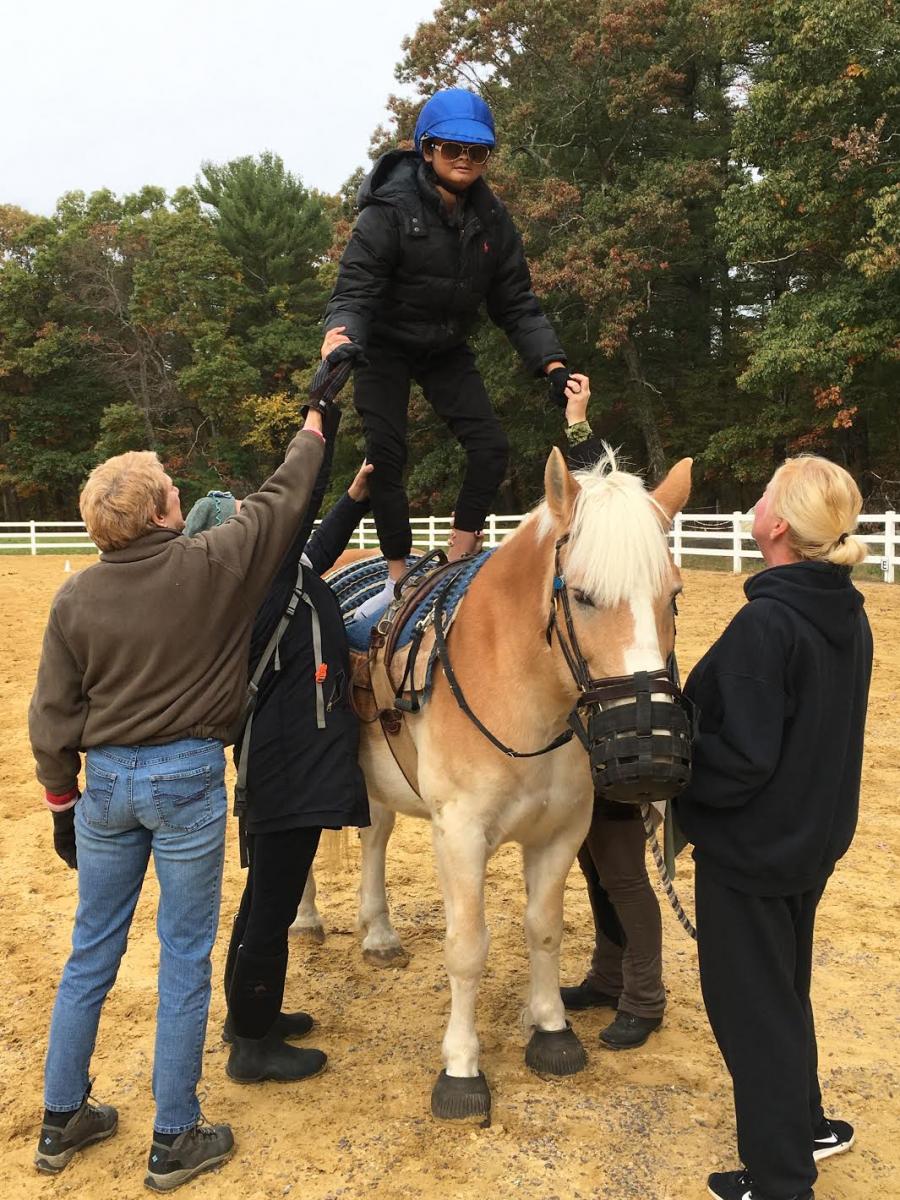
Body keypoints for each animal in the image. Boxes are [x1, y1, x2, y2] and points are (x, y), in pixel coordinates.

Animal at [296, 446, 691, 1118]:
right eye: (582, 595)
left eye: (674, 596)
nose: (649, 750)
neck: (517, 691)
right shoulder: (459, 834)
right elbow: (467, 947)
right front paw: (461, 1067)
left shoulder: (562, 832)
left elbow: (544, 929)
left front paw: (552, 1029)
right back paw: (304, 920)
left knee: (374, 837)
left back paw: (378, 934)